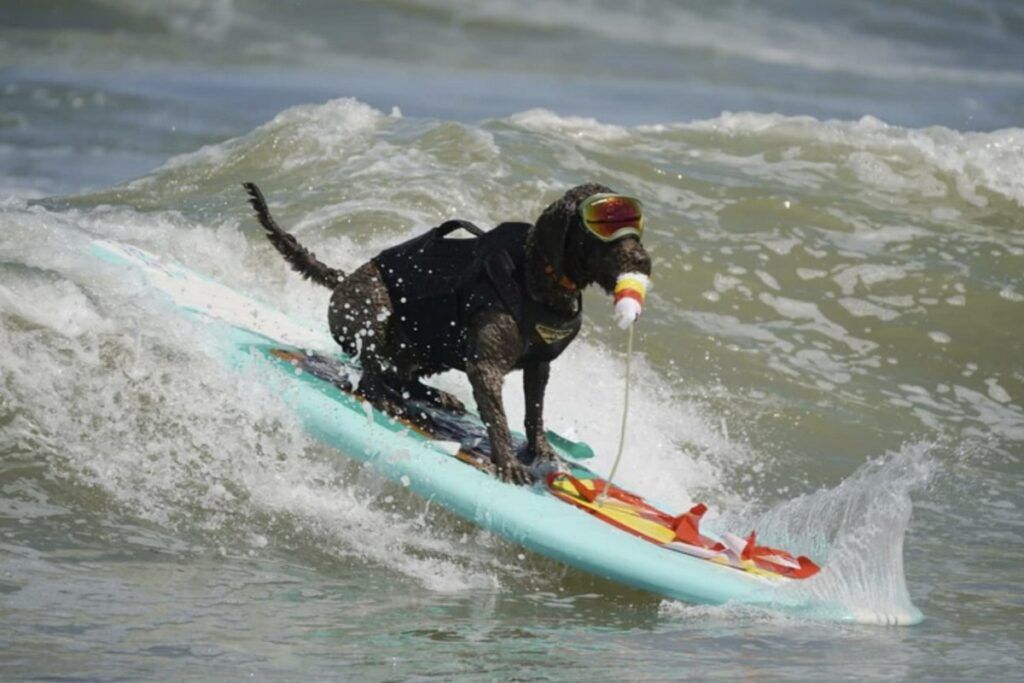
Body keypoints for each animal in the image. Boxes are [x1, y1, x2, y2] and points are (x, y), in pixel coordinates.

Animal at [243, 180, 651, 481]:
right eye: (602, 226)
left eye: (634, 225)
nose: (643, 260)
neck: (537, 277)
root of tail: (343, 278)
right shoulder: (485, 367)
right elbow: (498, 418)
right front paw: (508, 462)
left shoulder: (539, 367)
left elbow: (535, 413)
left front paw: (543, 452)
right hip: (377, 312)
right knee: (371, 374)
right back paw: (389, 398)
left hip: (432, 347)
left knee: (401, 375)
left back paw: (434, 396)